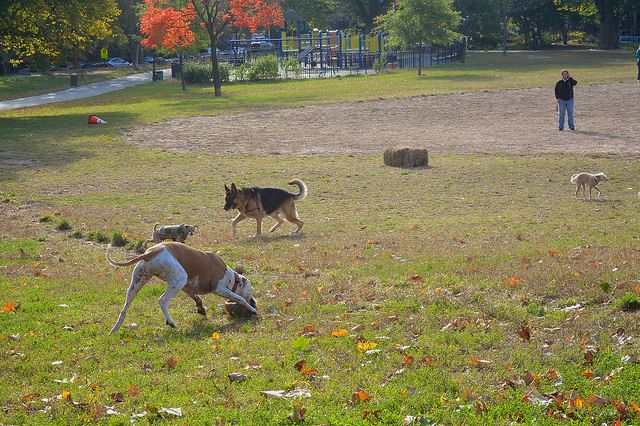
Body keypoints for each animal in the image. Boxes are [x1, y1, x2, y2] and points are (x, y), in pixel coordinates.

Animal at [106, 241, 256, 334]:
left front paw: (201, 309)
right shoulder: (219, 289)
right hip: (179, 280)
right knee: (162, 301)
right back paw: (171, 322)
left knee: (124, 308)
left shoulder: (188, 288)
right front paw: (252, 309)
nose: (254, 300)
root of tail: (151, 252)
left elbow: (198, 299)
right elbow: (240, 299)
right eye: (251, 290)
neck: (231, 277)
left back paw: (114, 329)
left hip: (138, 283)